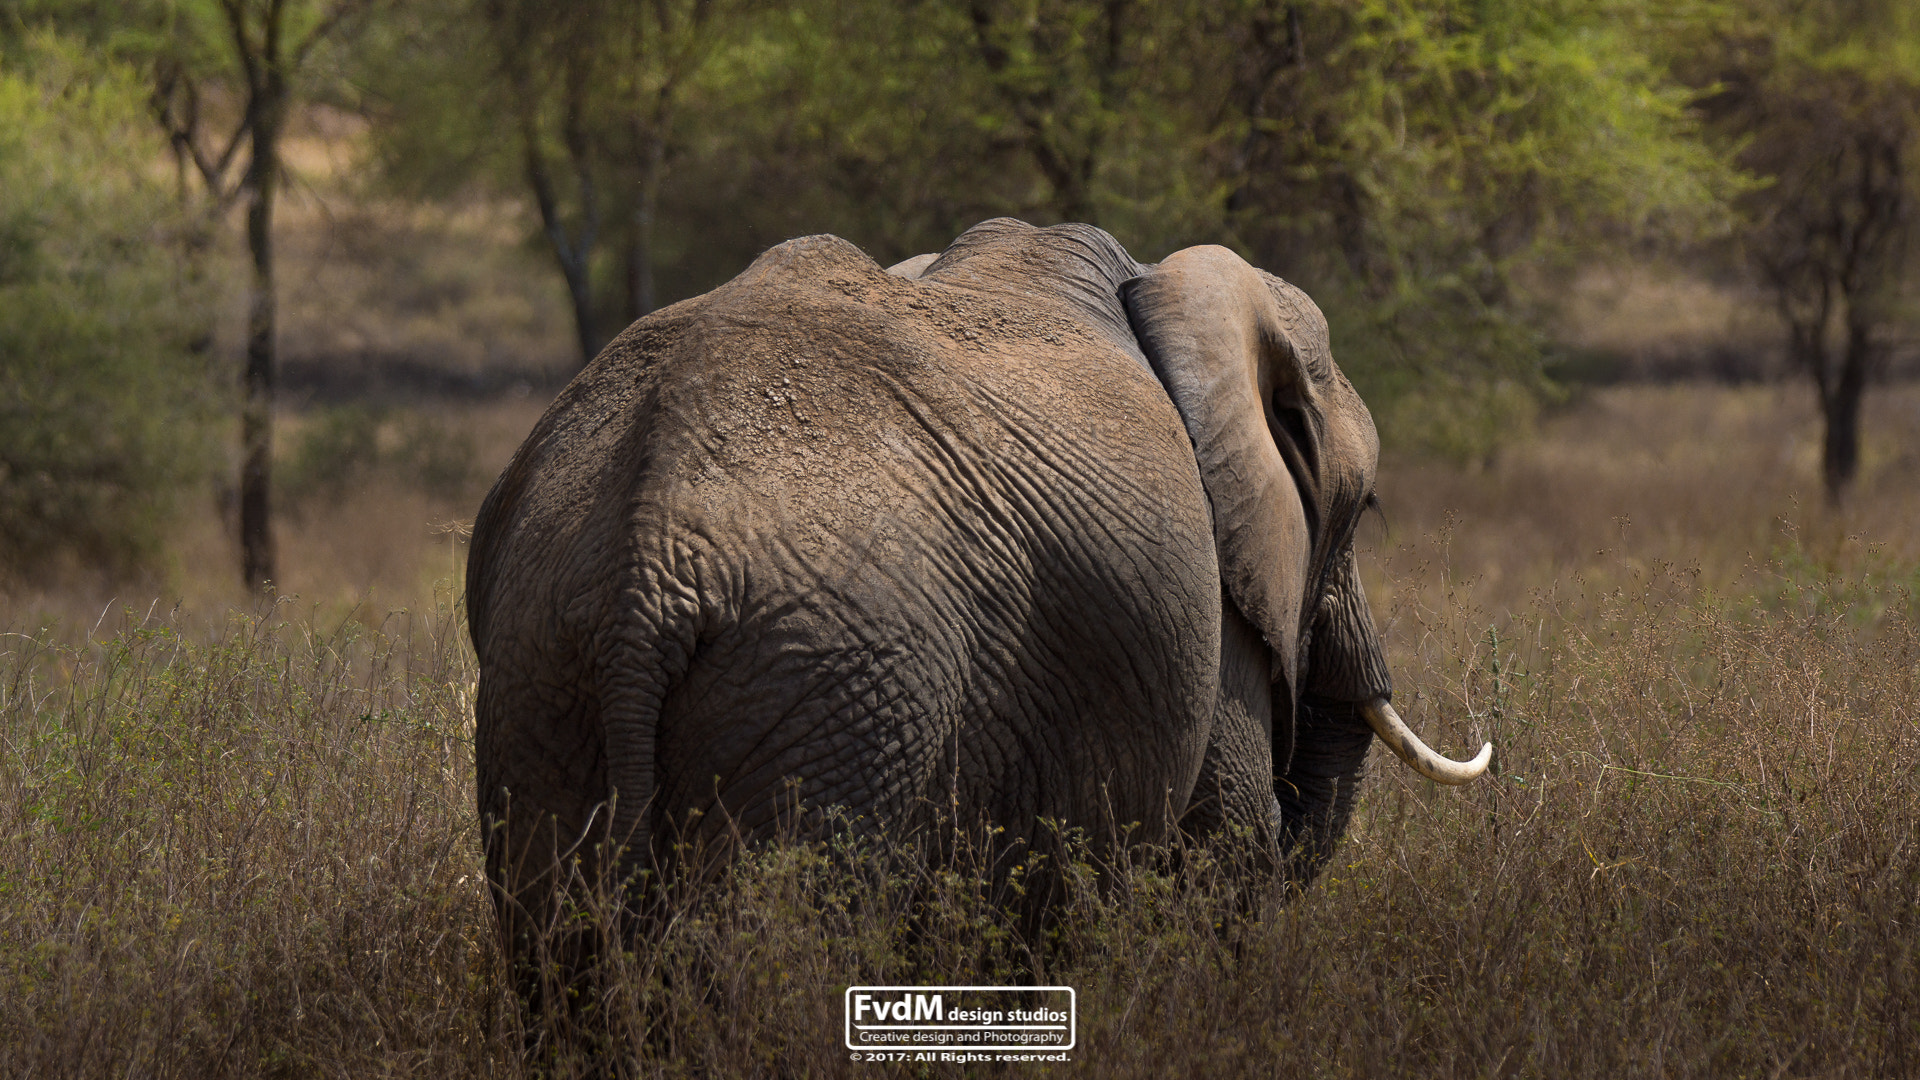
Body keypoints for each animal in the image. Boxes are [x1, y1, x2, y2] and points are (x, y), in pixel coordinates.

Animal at [460, 222, 1482, 945]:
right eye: (1366, 508)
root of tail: (648, 556)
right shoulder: (1211, 619)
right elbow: (1222, 860)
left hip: (545, 660)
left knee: (556, 940)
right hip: (838, 680)